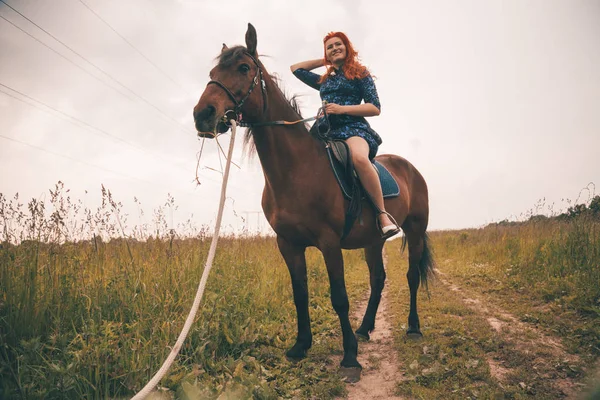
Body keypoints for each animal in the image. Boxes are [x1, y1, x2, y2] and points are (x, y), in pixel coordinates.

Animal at [195, 23, 434, 376]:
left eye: (243, 68)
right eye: (212, 72)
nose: (203, 115)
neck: (297, 170)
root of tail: (410, 168)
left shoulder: (329, 242)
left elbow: (339, 297)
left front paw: (349, 358)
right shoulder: (288, 244)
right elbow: (300, 294)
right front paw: (300, 346)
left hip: (415, 230)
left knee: (412, 276)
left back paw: (413, 328)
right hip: (373, 240)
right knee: (378, 279)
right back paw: (365, 328)